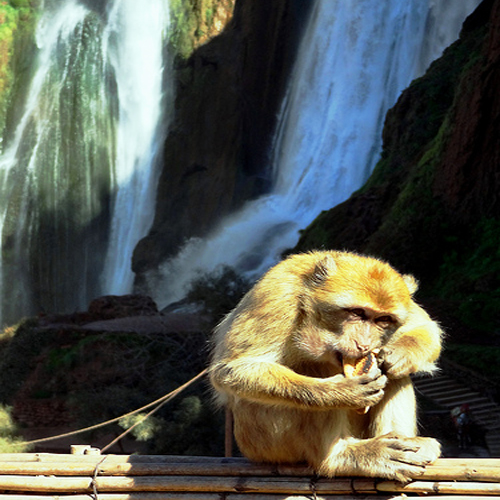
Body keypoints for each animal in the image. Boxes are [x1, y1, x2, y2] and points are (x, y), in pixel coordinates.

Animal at [209, 250, 444, 480]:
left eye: (383, 319)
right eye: (357, 313)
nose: (364, 344)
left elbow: (426, 326)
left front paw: (401, 354)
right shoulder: (277, 296)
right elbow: (231, 370)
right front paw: (341, 391)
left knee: (393, 376)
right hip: (264, 444)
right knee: (313, 368)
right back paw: (340, 456)